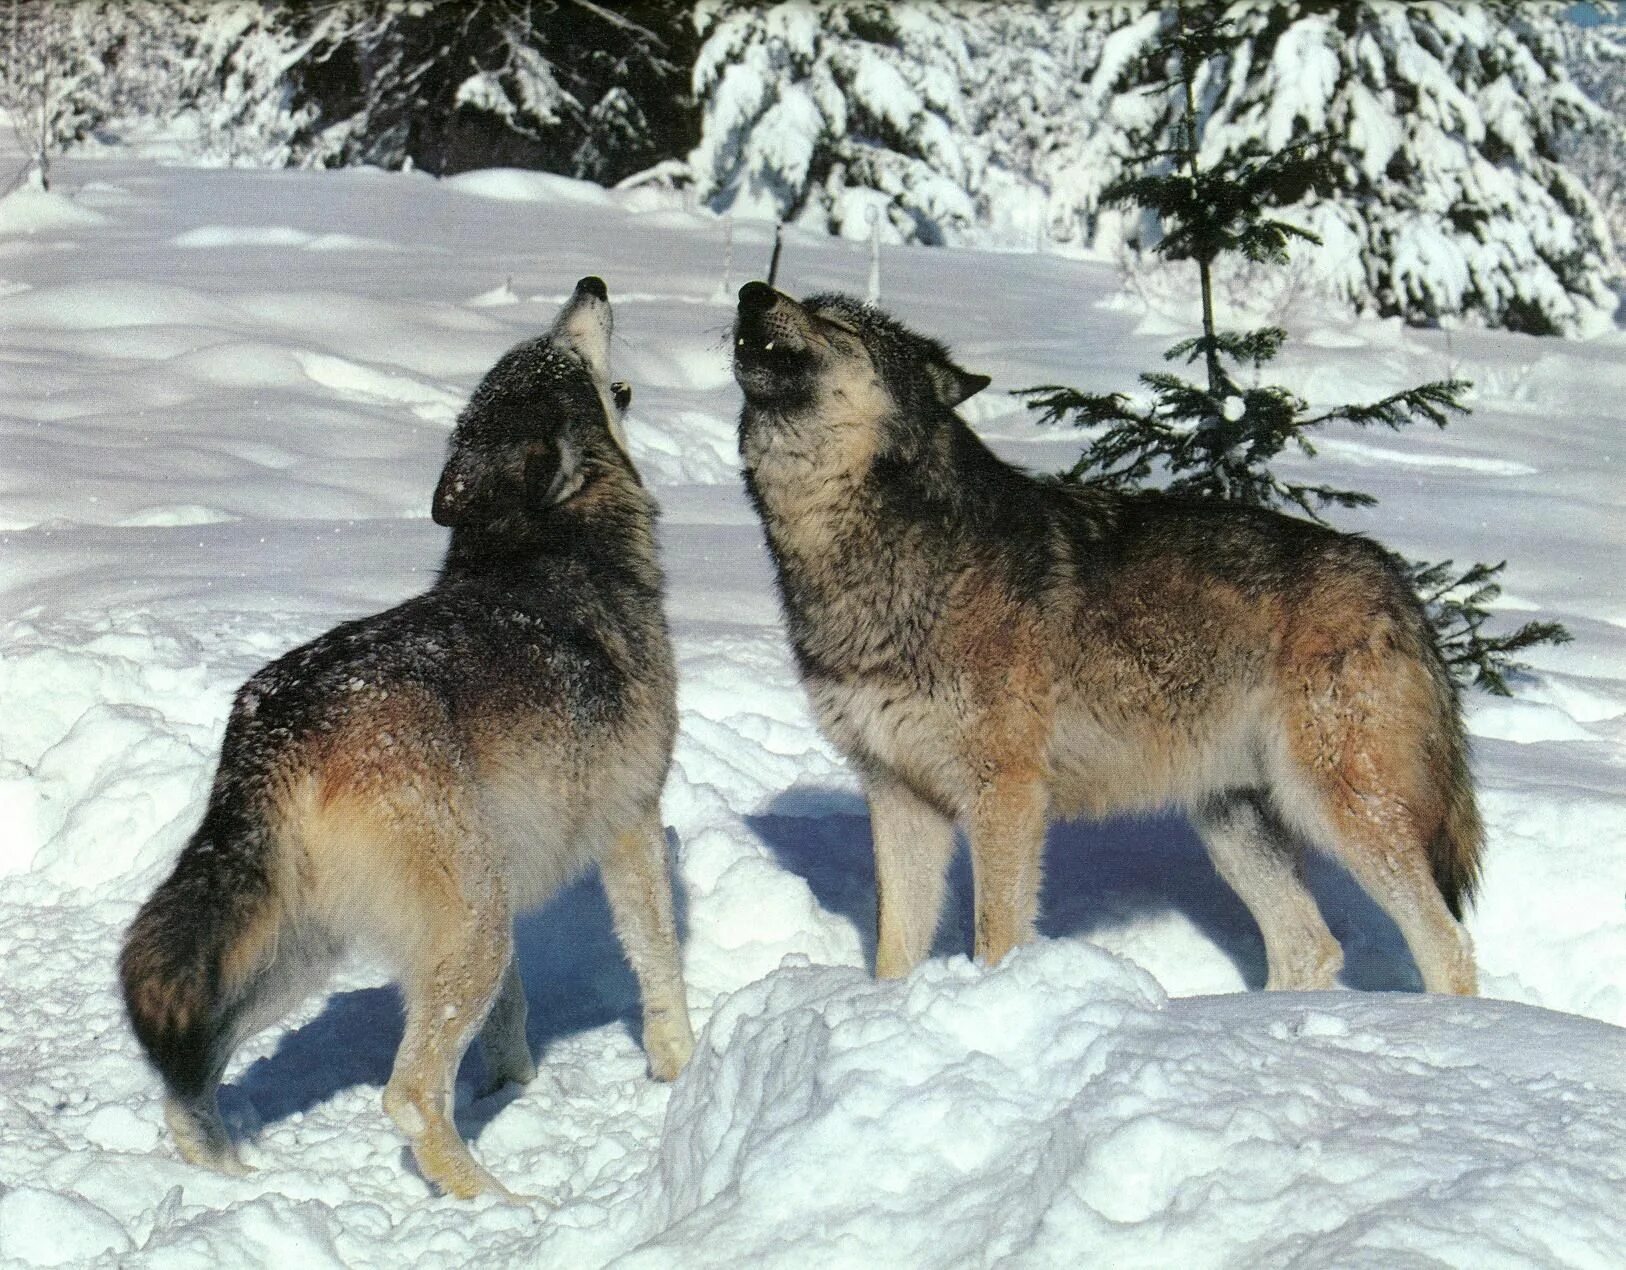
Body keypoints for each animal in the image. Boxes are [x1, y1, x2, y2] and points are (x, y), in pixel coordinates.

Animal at [120, 278, 692, 1196]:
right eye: (565, 350)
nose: (592, 285)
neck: (544, 539)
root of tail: (275, 720)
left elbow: (512, 1013)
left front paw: (512, 1085)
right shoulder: (632, 819)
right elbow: (658, 956)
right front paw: (681, 1065)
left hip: (307, 950)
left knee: (189, 1074)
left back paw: (231, 1178)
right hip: (470, 925)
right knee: (410, 1096)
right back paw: (497, 1204)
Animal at [731, 282, 1482, 995]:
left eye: (838, 323)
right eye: (807, 302)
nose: (751, 293)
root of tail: (1393, 576)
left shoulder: (1006, 792)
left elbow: (996, 933)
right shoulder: (897, 793)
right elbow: (894, 948)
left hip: (1340, 806)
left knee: (1446, 942)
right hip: (1233, 824)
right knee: (1311, 947)